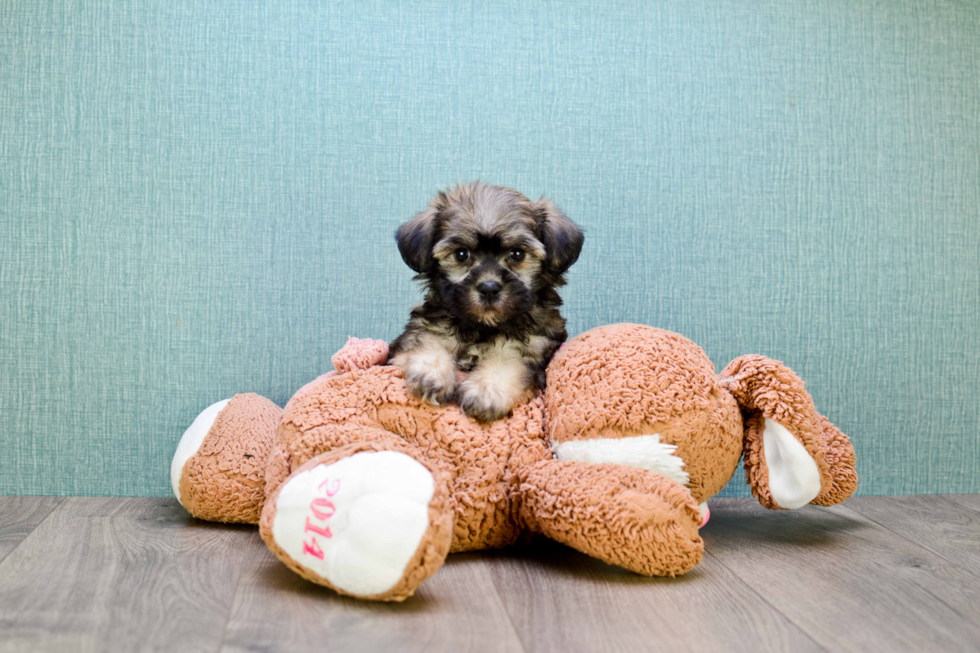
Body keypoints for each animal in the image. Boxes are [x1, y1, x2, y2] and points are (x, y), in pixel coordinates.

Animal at [388, 182, 580, 422]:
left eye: (517, 254)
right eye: (461, 254)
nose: (489, 288)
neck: (482, 327)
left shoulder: (533, 347)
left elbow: (507, 363)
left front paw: (485, 392)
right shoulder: (425, 326)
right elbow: (427, 342)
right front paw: (430, 373)